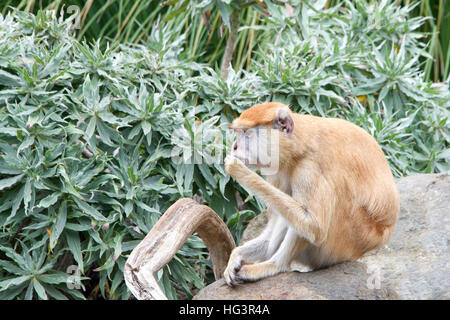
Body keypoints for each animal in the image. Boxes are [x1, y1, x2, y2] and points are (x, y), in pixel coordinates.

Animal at [223, 102, 400, 284]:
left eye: (246, 133)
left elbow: (314, 226)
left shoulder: (309, 169)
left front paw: (238, 169)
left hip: (345, 240)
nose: (234, 146)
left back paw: (275, 266)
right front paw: (236, 255)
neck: (297, 145)